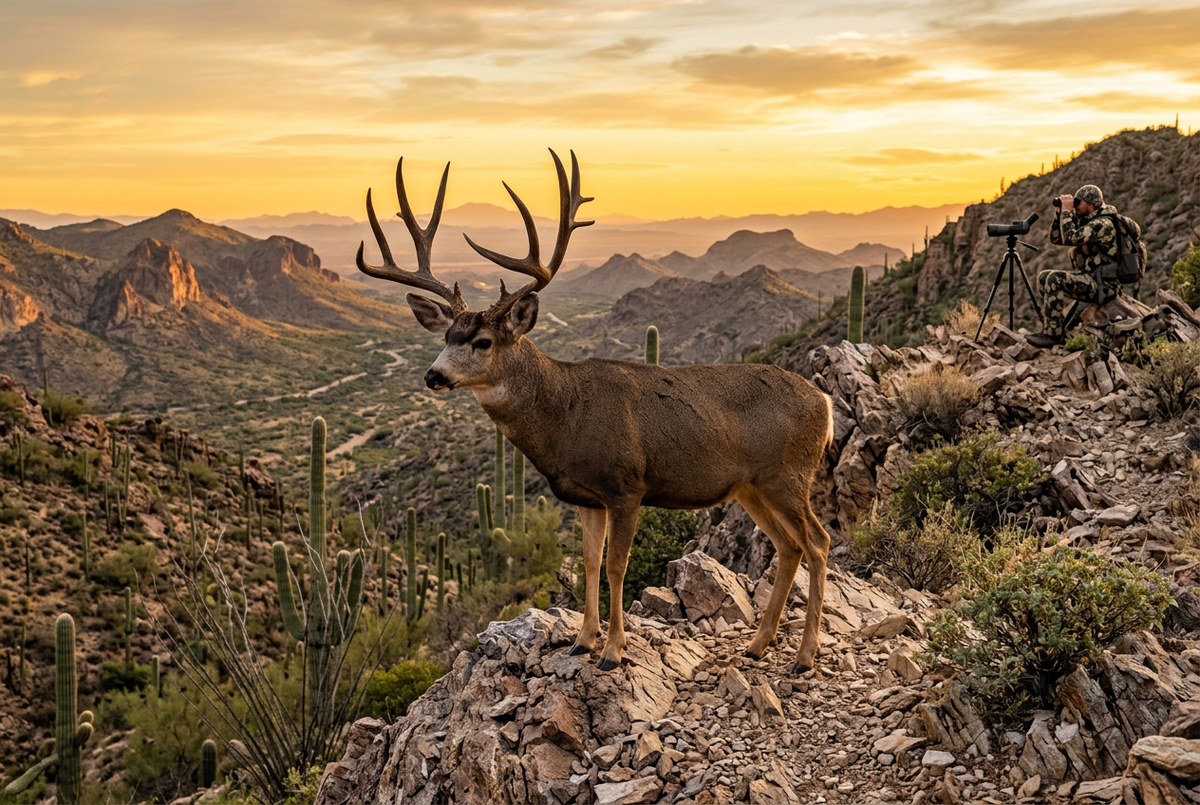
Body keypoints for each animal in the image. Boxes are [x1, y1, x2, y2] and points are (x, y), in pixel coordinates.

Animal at [356, 150, 834, 674]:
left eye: (482, 341)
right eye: (446, 336)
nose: (433, 375)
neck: (565, 416)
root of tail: (825, 402)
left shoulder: (626, 486)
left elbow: (615, 566)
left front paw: (613, 651)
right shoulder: (586, 498)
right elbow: (587, 562)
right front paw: (582, 641)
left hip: (789, 474)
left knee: (818, 542)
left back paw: (805, 655)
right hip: (751, 486)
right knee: (789, 546)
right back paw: (758, 644)